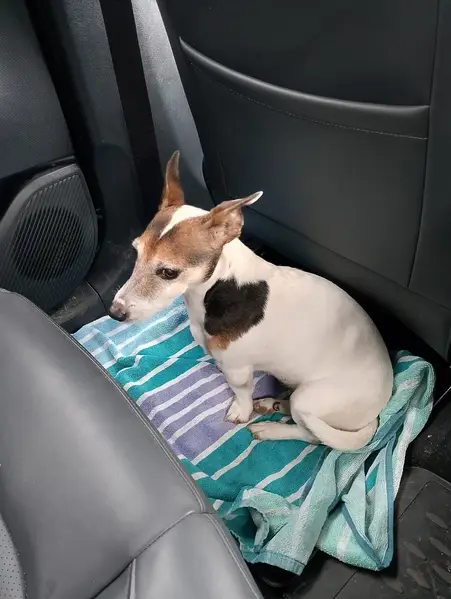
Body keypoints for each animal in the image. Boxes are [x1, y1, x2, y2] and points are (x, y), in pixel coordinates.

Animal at [109, 151, 393, 451]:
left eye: (168, 272)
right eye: (136, 251)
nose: (114, 312)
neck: (221, 286)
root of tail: (375, 416)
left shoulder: (238, 369)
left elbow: (242, 393)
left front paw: (240, 411)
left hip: (309, 400)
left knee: (312, 435)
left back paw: (272, 429)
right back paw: (275, 403)